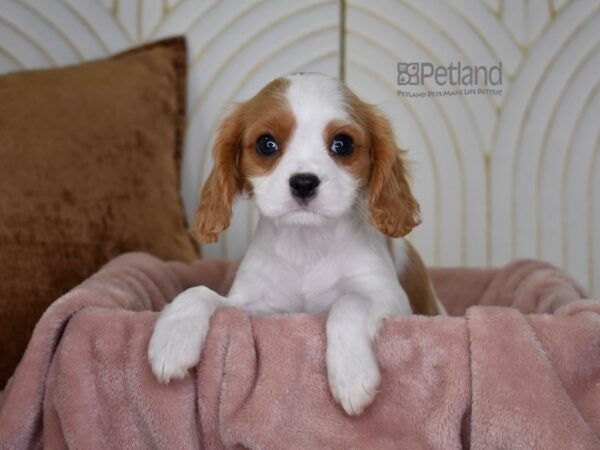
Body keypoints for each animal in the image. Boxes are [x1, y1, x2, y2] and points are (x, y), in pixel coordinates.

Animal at [148, 73, 442, 414]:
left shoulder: (392, 298)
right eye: (266, 144)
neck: (307, 243)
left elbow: (348, 302)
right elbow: (199, 291)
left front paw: (352, 374)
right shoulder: (259, 305)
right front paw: (172, 340)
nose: (304, 183)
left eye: (342, 144)